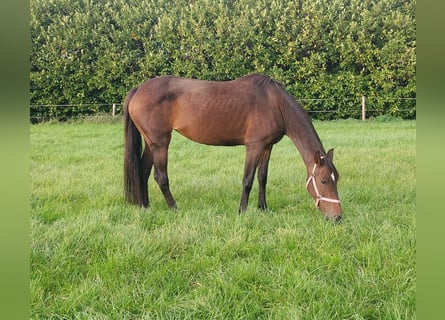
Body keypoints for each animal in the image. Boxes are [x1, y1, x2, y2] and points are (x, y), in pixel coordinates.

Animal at [121, 74, 340, 220]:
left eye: (336, 179)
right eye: (323, 181)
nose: (337, 217)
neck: (275, 104)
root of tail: (137, 90)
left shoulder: (267, 147)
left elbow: (262, 178)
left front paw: (263, 208)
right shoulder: (254, 146)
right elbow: (248, 180)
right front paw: (242, 211)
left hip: (151, 143)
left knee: (142, 172)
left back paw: (145, 207)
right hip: (160, 143)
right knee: (160, 177)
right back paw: (174, 208)